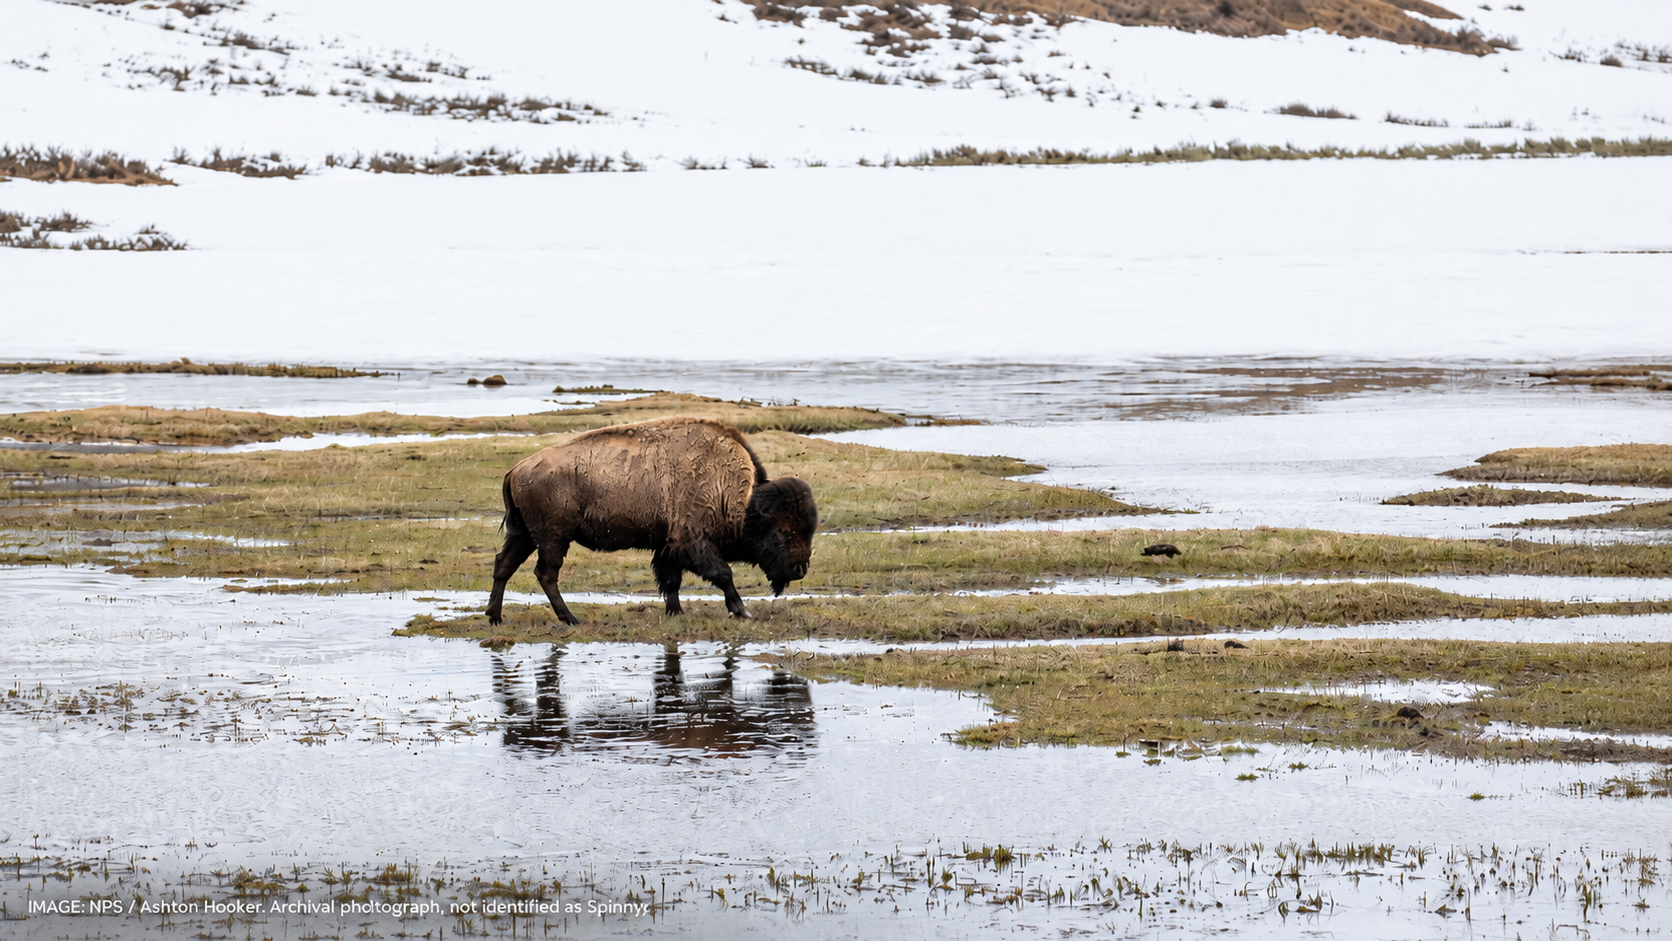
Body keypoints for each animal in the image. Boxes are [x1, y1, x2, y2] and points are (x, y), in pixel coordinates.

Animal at [485, 417, 818, 625]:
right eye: (782, 532)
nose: (800, 570)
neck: (739, 497)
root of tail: (517, 468)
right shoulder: (694, 541)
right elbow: (722, 574)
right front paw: (742, 611)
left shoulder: (668, 545)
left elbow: (671, 579)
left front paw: (676, 612)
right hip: (553, 538)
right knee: (545, 573)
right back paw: (571, 619)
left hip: (525, 534)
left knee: (504, 564)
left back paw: (495, 617)